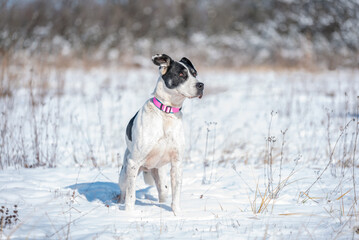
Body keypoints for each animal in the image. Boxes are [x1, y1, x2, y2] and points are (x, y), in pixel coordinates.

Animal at [119, 53, 205, 214]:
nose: (201, 85)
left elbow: (176, 193)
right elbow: (131, 196)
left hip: (160, 176)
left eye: (195, 74)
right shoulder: (133, 163)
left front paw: (177, 213)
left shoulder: (177, 163)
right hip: (124, 173)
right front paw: (129, 214)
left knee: (162, 193)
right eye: (181, 74)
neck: (166, 113)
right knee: (123, 191)